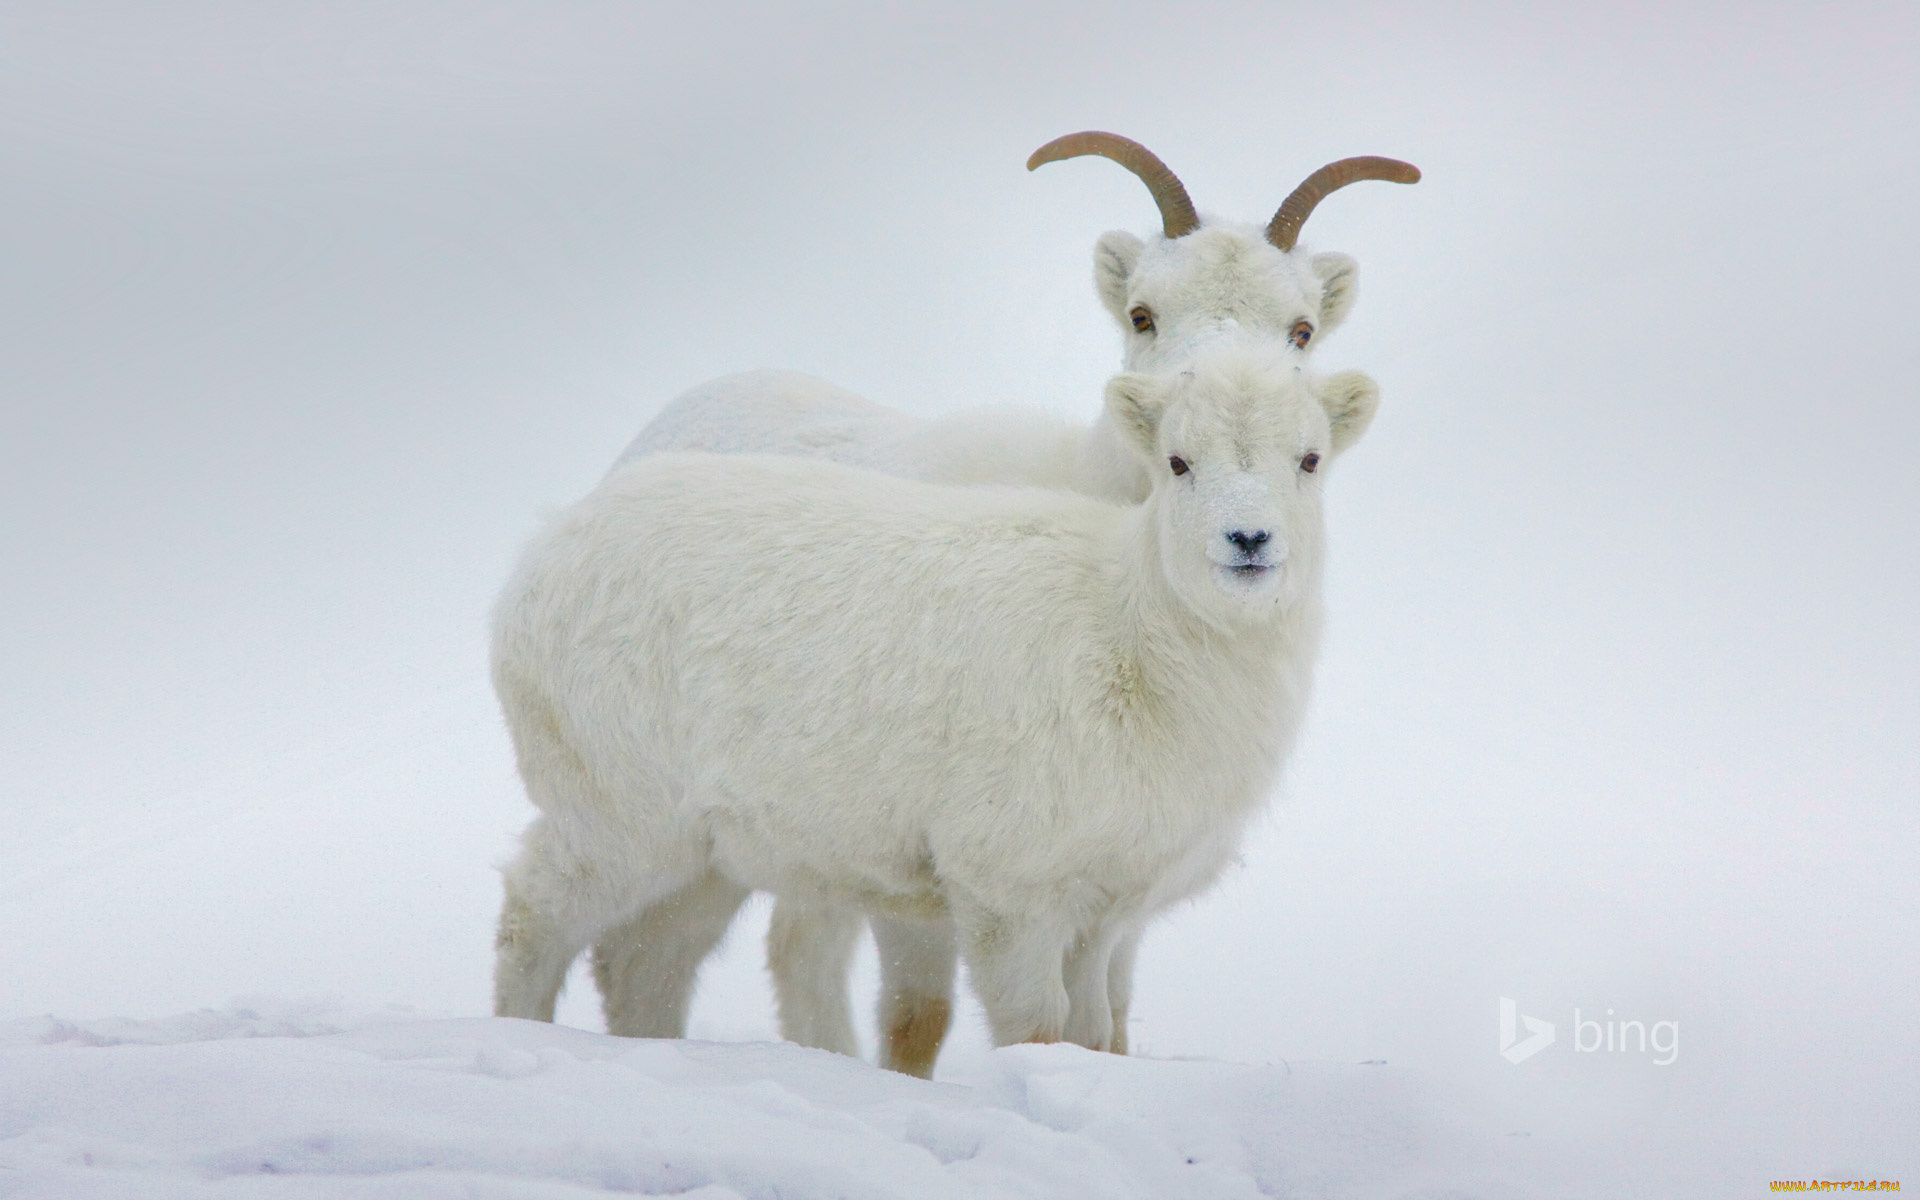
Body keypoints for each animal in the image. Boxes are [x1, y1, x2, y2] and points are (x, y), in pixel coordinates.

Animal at [487, 349, 1374, 1059]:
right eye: (1178, 462)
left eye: (1310, 459)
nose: (1248, 541)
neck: (1133, 638)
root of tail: (541, 552)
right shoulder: (1008, 891)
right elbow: (1035, 1029)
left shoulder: (1103, 912)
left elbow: (1093, 1034)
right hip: (616, 811)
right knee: (534, 915)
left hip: (706, 853)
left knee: (643, 964)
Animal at [587, 133, 1428, 1075]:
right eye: (1142, 314)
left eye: (1302, 328)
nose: (1208, 395)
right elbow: (919, 1017)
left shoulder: (1114, 888)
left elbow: (1112, 1024)